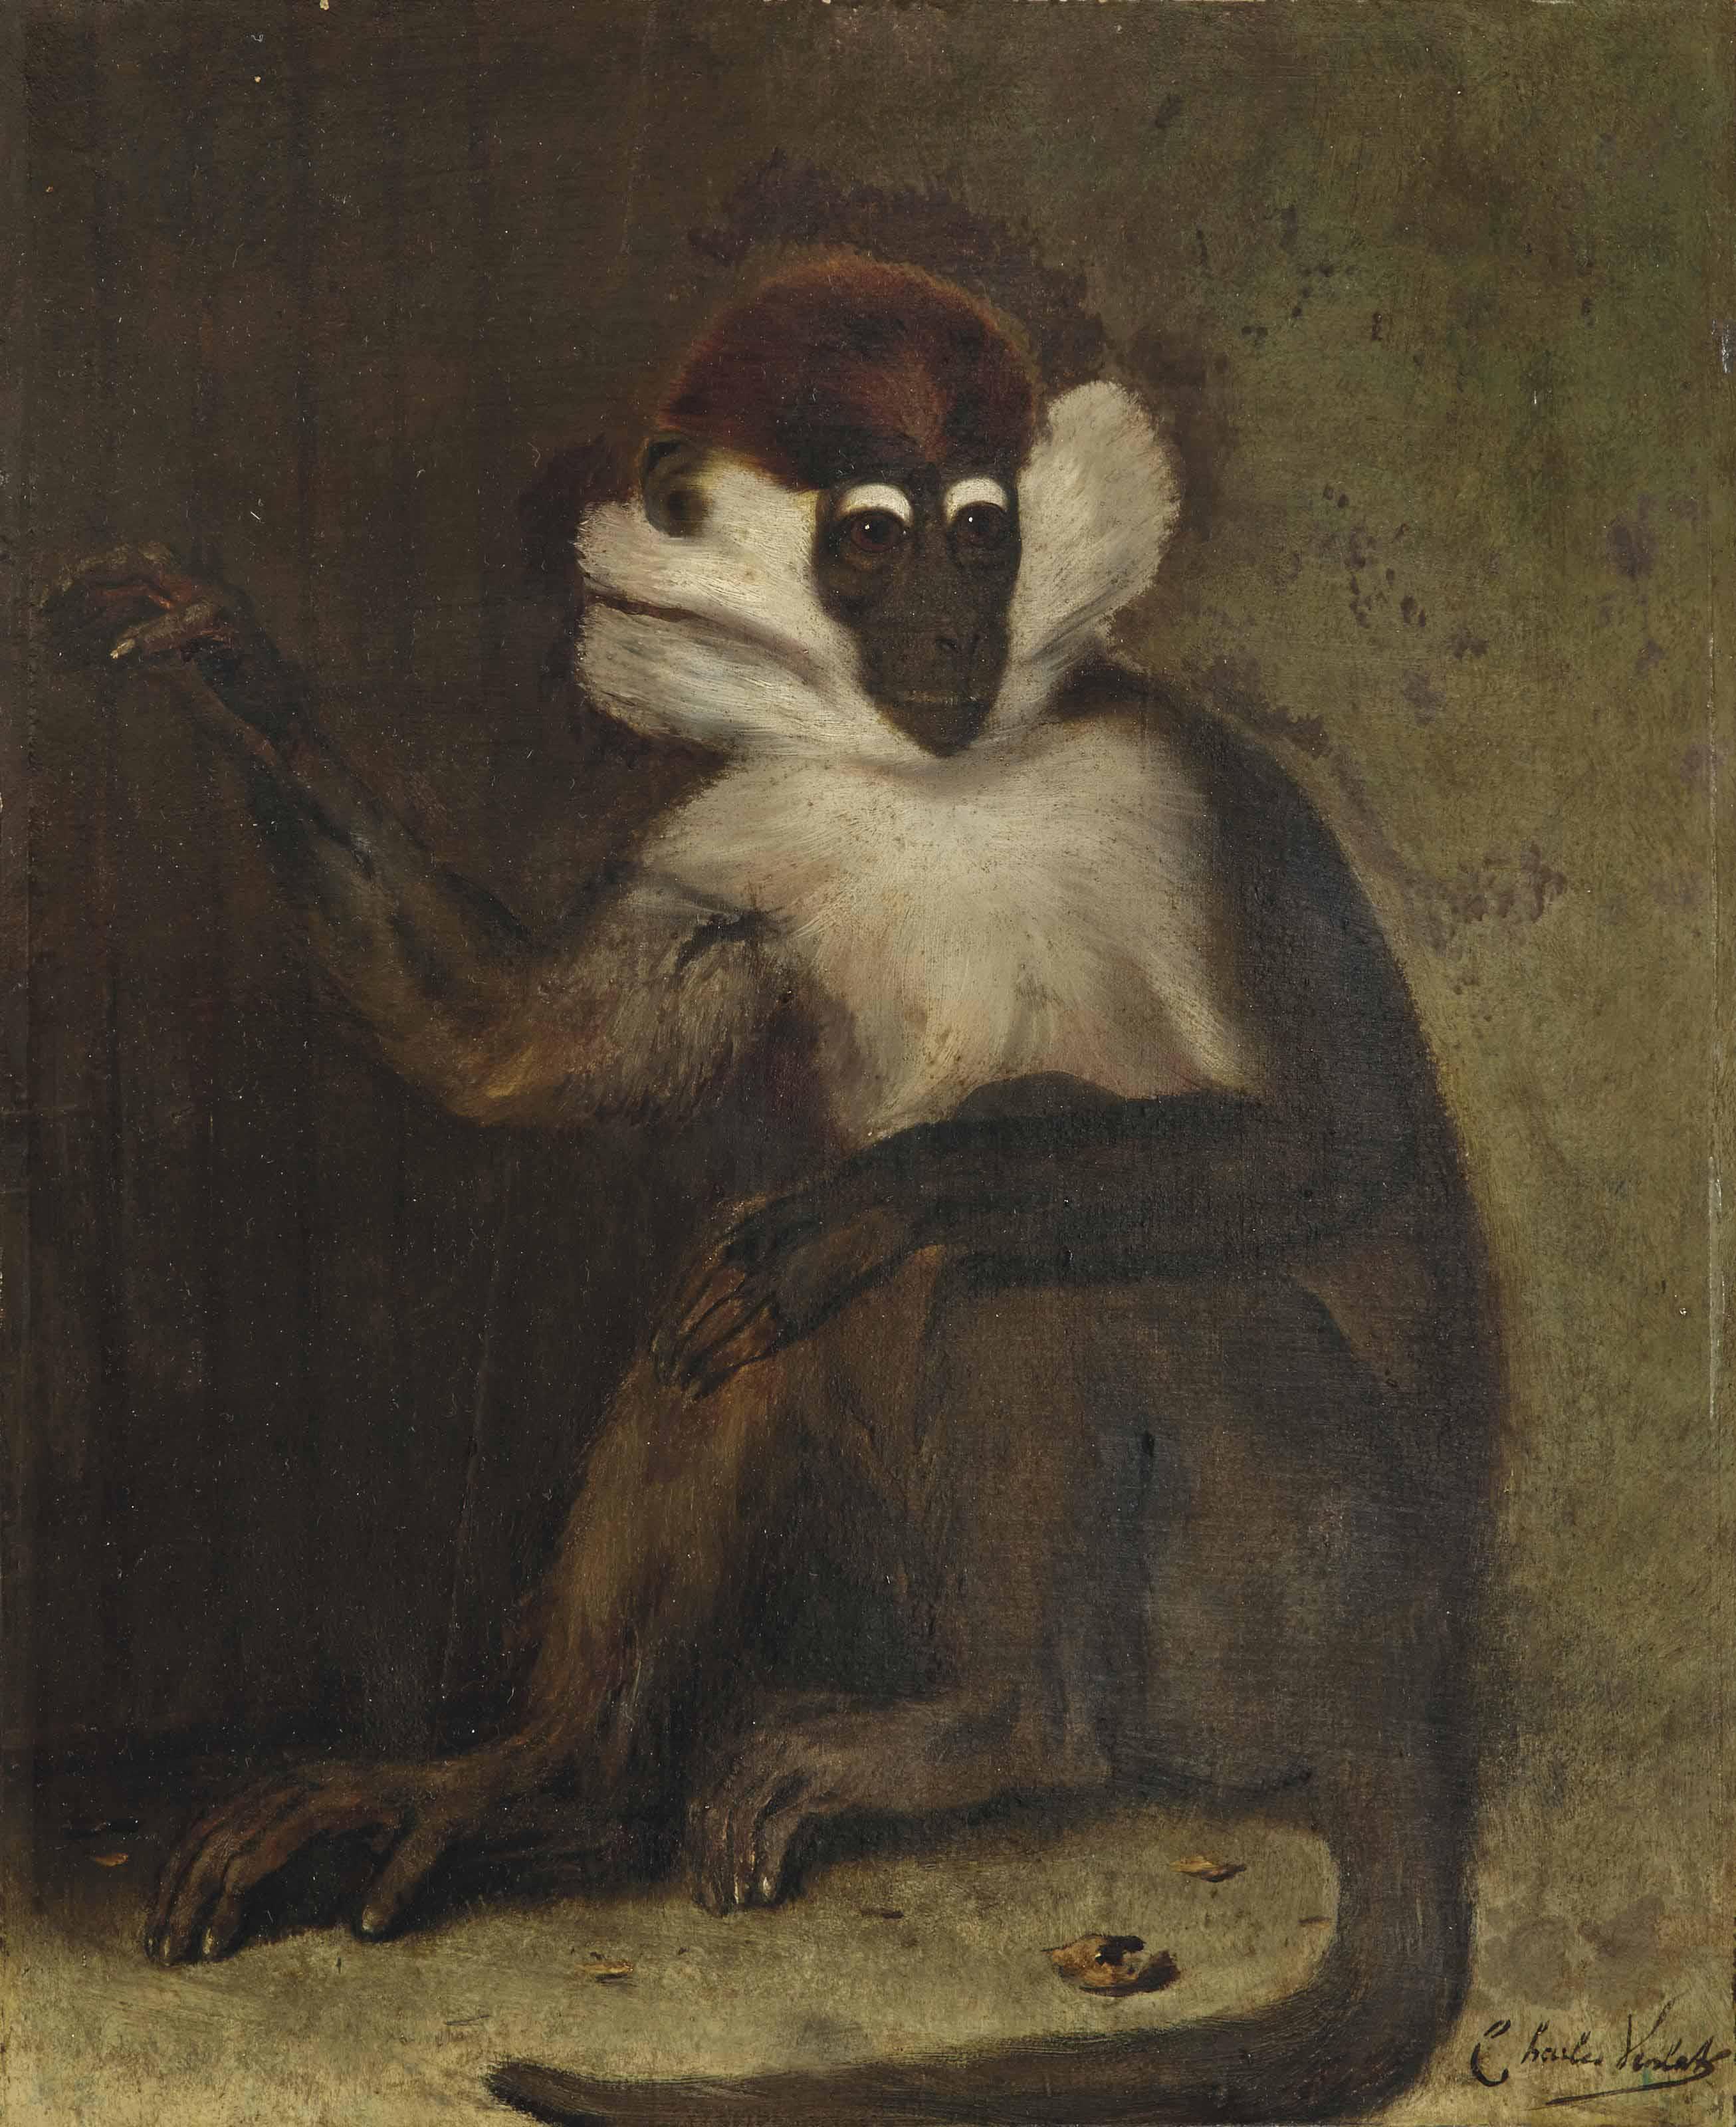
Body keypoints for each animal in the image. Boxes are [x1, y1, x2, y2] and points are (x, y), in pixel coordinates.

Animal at [42, 254, 1498, 2124]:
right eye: (874, 542)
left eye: (979, 533)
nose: (950, 629)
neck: (936, 776)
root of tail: (1411, 1688)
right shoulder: (742, 827)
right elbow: (535, 1053)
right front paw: (232, 675)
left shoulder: (1187, 778)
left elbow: (1335, 1139)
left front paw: (874, 1195)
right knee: (741, 1313)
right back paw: (551, 1772)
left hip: (1291, 1587)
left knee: (1012, 1256)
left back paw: (1005, 1721)